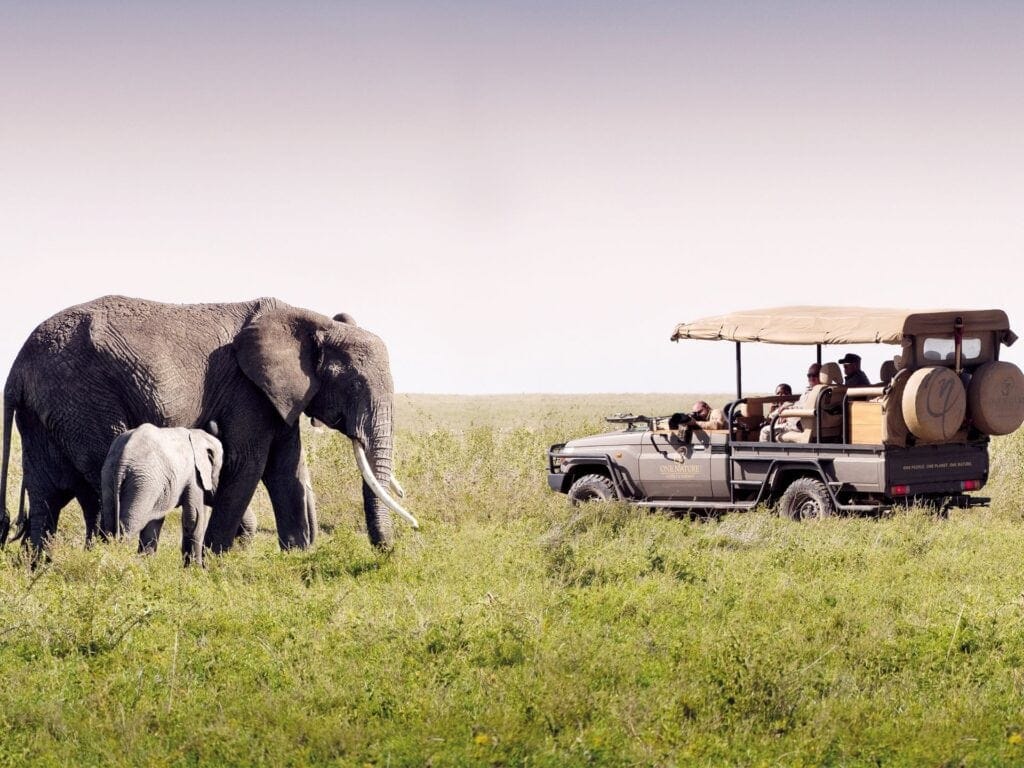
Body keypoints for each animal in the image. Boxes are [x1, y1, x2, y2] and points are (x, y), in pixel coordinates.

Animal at [100, 421, 223, 565]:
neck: (198, 435)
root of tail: (122, 460)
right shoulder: (194, 475)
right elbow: (193, 518)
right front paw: (195, 569)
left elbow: (154, 521)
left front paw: (147, 565)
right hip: (143, 482)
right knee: (127, 527)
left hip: (110, 475)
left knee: (110, 525)